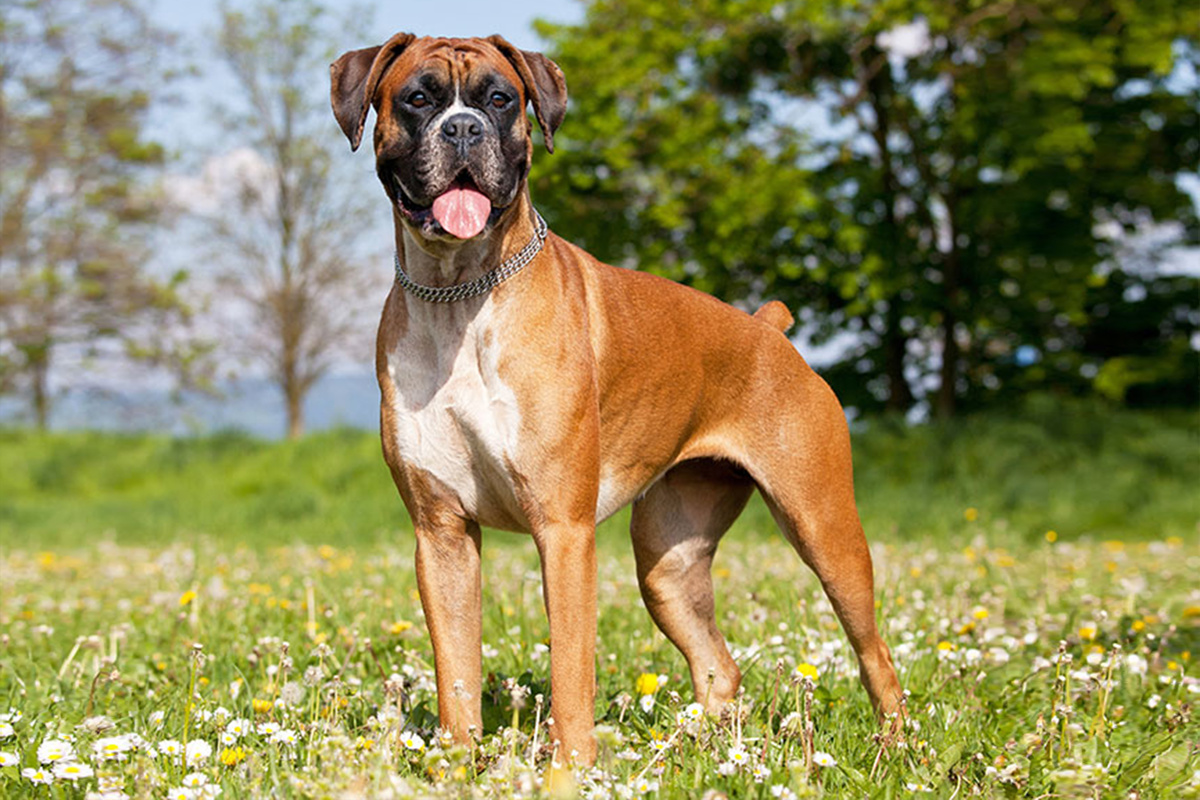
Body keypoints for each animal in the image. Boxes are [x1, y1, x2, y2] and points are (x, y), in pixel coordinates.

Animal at [328, 34, 902, 767]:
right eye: (419, 99)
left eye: (500, 100)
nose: (463, 129)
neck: (459, 294)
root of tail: (766, 330)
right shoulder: (442, 535)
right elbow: (454, 669)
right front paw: (455, 764)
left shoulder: (564, 532)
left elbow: (571, 668)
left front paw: (570, 770)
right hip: (667, 565)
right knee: (719, 665)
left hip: (824, 529)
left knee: (875, 654)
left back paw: (896, 750)